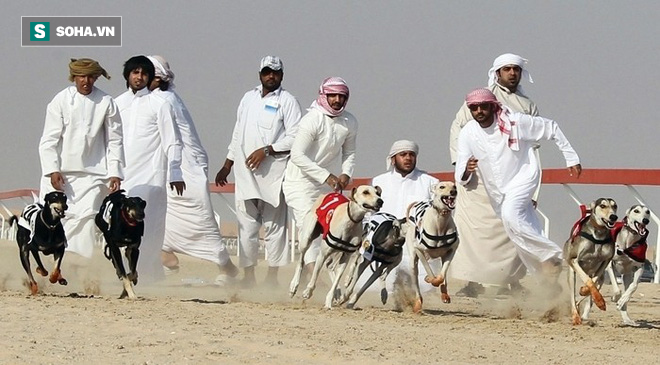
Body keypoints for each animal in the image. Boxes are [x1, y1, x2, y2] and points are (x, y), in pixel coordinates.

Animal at [402, 181, 458, 312]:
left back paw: (444, 294)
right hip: (413, 262)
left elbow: (441, 276)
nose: (453, 192)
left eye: (454, 186)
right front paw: (429, 278)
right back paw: (418, 303)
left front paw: (436, 282)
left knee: (444, 278)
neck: (440, 222)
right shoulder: (419, 250)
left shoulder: (452, 250)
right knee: (416, 281)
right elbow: (429, 271)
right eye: (442, 187)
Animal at [564, 198, 620, 326]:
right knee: (572, 296)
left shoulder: (606, 260)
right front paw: (598, 300)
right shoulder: (574, 260)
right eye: (602, 206)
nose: (613, 217)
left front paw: (597, 299)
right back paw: (575, 316)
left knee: (591, 289)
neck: (598, 236)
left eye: (615, 206)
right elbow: (587, 279)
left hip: (602, 279)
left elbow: (593, 281)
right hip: (571, 274)